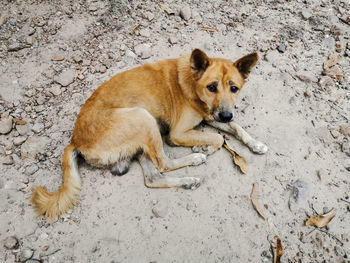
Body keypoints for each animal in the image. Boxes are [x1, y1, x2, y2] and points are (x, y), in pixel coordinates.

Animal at [32, 49, 268, 219]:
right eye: (212, 87)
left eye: (234, 88)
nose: (226, 115)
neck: (192, 83)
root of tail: (75, 140)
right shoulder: (178, 133)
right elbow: (218, 138)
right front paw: (203, 147)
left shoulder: (212, 116)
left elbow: (236, 128)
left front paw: (256, 144)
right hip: (143, 117)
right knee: (164, 163)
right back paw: (195, 159)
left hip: (143, 138)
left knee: (153, 178)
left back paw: (188, 180)